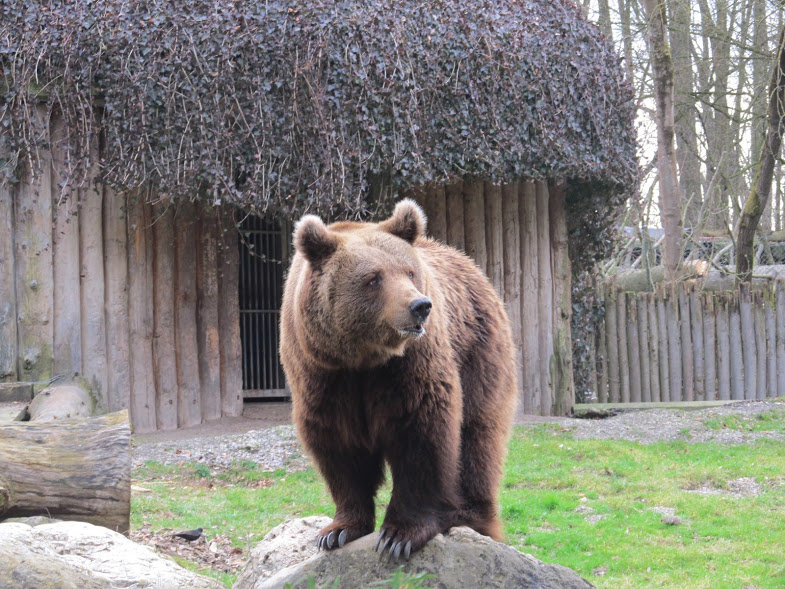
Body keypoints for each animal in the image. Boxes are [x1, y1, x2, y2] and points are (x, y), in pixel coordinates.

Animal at [278, 198, 516, 560]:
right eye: (373, 278)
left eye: (409, 272)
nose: (420, 305)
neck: (363, 357)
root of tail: (473, 267)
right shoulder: (322, 373)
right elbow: (338, 448)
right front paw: (337, 531)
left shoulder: (410, 366)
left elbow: (422, 433)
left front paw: (399, 535)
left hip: (480, 353)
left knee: (478, 438)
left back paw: (468, 515)